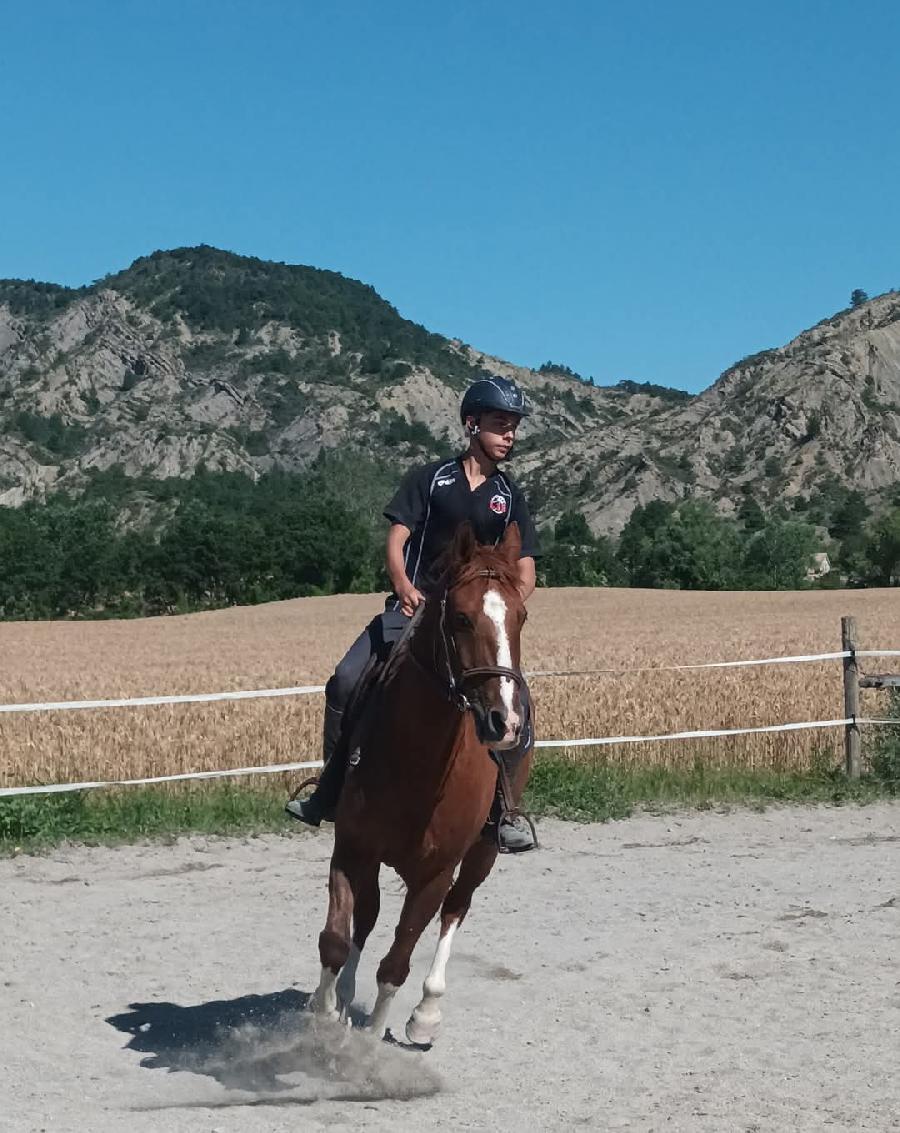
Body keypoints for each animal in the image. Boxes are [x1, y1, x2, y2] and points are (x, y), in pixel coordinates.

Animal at [310, 518, 532, 1042]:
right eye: (462, 618)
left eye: (521, 617)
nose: (505, 722)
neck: (417, 762)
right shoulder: (352, 849)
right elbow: (336, 939)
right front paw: (325, 1014)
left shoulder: (434, 875)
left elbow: (396, 963)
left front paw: (370, 1043)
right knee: (366, 917)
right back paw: (341, 998)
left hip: (482, 853)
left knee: (456, 909)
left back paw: (426, 1013)